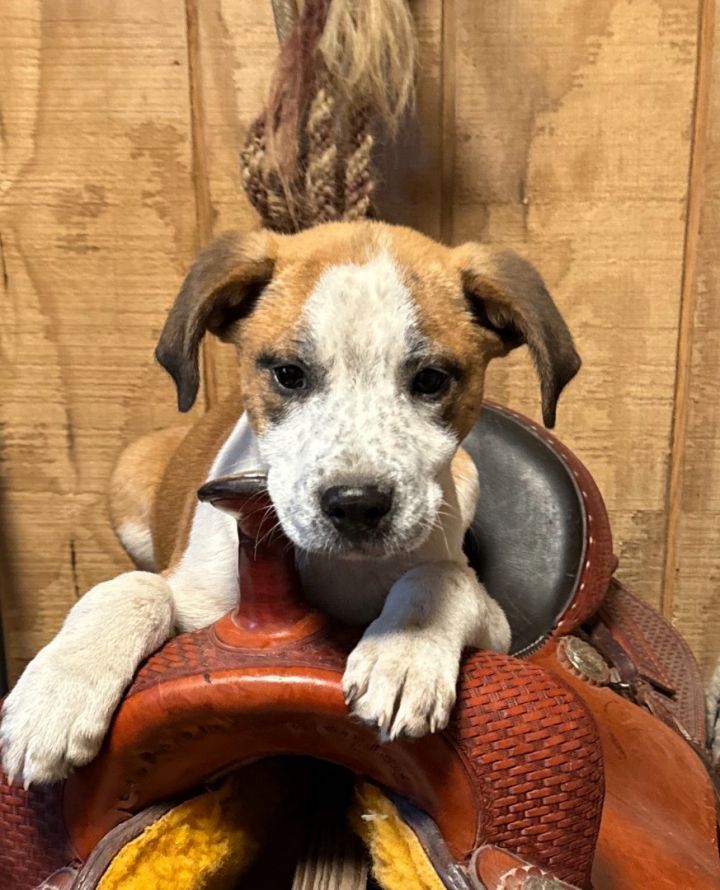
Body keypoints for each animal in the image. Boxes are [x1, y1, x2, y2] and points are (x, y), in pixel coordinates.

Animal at [0, 222, 580, 784]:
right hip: (130, 474)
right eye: (288, 374)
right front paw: (55, 696)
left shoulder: (498, 626)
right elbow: (132, 590)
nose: (356, 505)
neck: (334, 568)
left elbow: (441, 577)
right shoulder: (199, 602)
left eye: (431, 381)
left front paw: (404, 654)